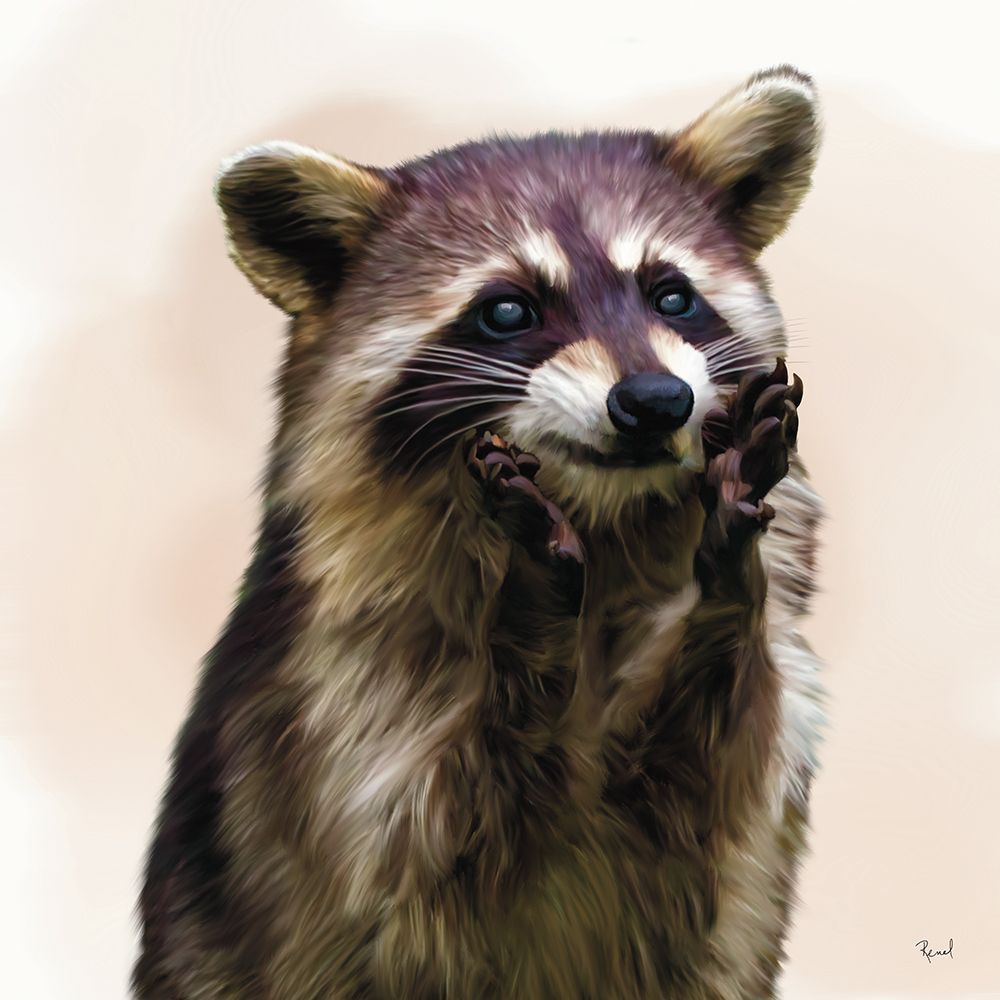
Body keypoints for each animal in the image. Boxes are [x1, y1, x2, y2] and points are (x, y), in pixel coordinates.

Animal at [134, 66, 825, 999]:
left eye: (672, 294)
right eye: (507, 311)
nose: (655, 401)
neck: (604, 515)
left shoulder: (756, 756)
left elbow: (719, 777)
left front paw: (725, 579)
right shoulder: (338, 697)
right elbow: (438, 844)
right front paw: (530, 614)